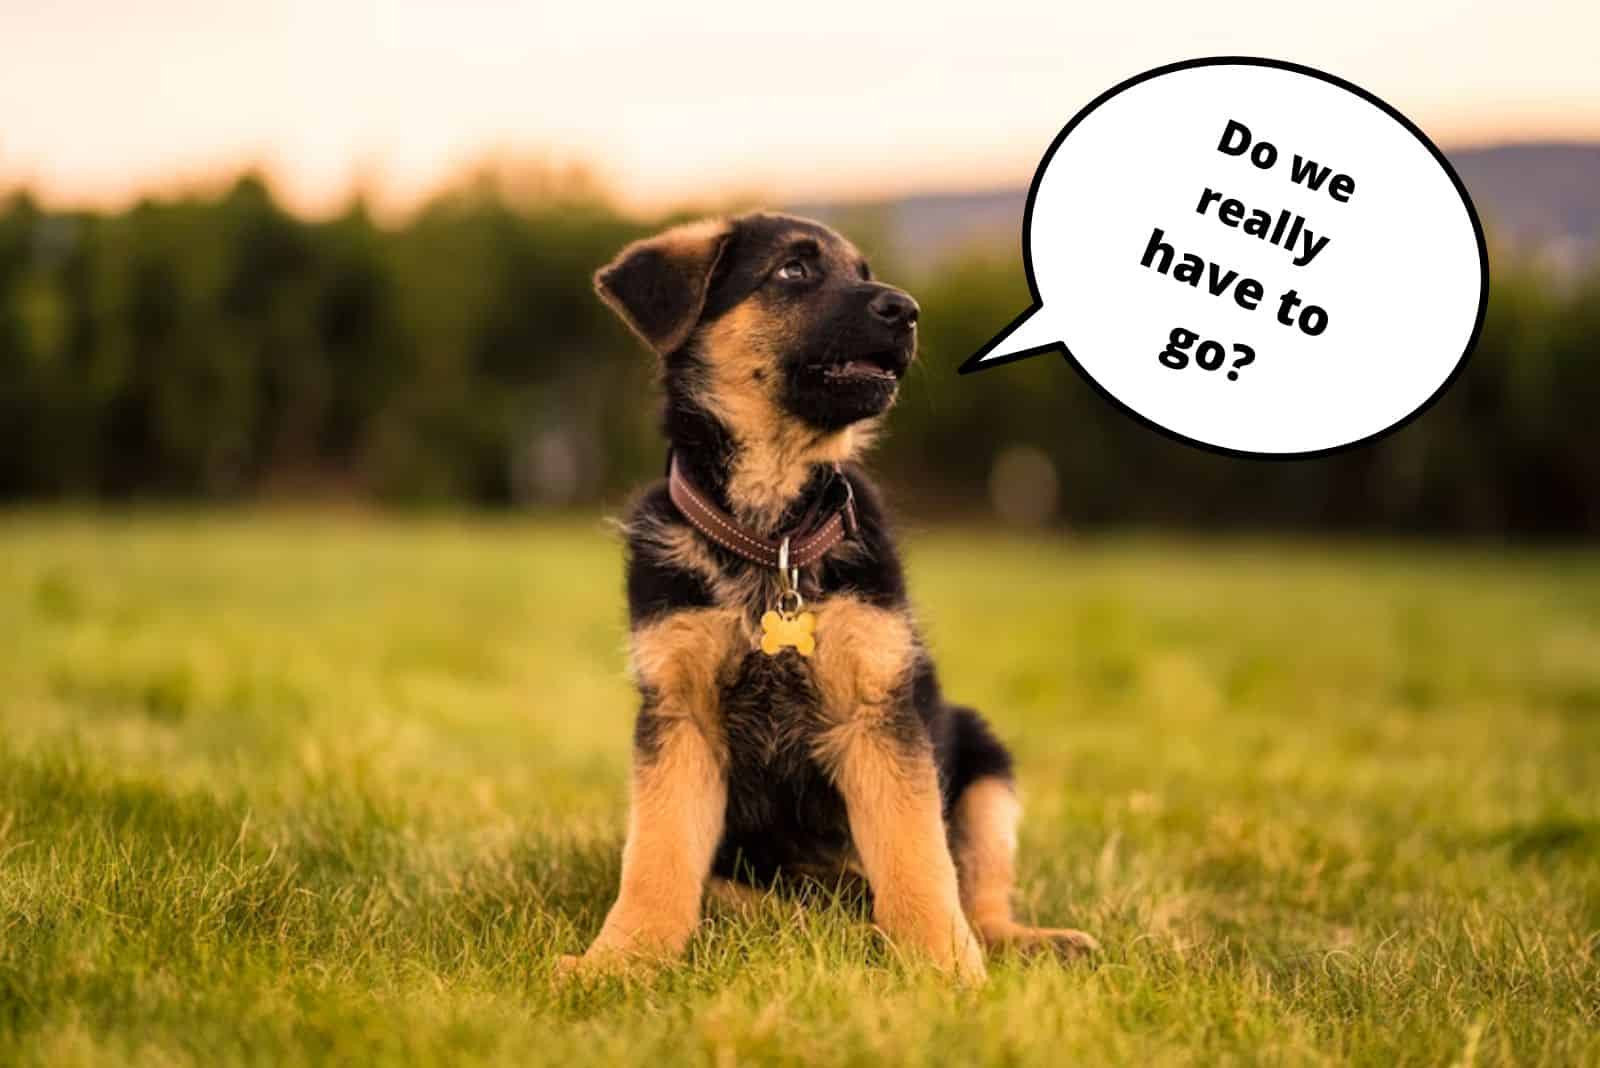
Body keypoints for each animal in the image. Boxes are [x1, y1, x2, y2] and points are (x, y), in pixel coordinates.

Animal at [566, 212, 1100, 978]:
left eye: (865, 272)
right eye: (794, 270)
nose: (907, 310)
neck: (773, 533)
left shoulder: (877, 714)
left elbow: (917, 857)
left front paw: (946, 968)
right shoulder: (679, 719)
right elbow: (656, 857)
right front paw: (622, 958)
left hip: (985, 763)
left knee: (980, 896)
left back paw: (1023, 941)